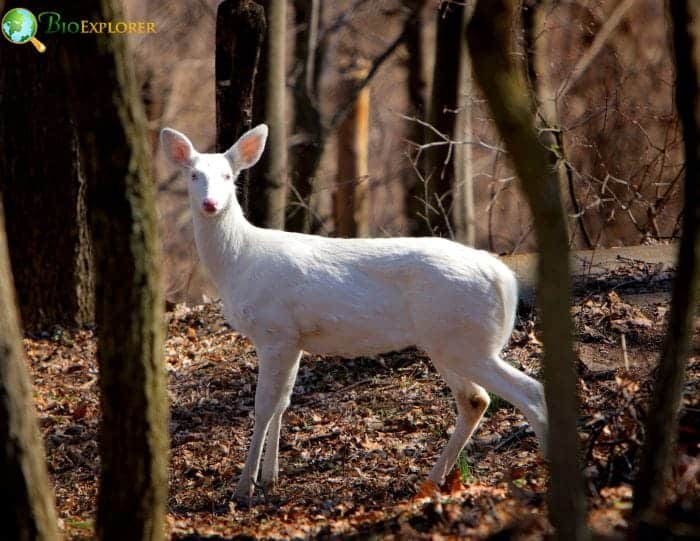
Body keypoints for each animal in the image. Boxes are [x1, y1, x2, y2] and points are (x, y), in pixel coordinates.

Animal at [161, 123, 548, 502]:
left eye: (228, 176)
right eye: (194, 175)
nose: (210, 203)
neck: (238, 263)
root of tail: (505, 279)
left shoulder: (274, 331)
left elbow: (264, 405)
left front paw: (245, 487)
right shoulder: (294, 338)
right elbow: (283, 402)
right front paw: (271, 479)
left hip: (466, 339)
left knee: (529, 391)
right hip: (449, 341)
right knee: (476, 400)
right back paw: (431, 480)